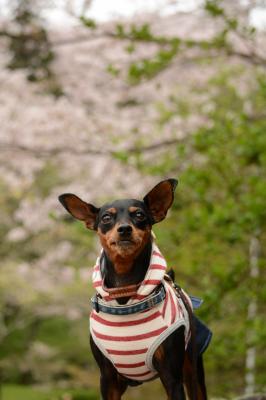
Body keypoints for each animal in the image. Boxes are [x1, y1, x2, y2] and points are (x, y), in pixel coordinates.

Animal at [59, 180, 211, 400]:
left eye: (139, 214)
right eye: (106, 218)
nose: (124, 229)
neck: (125, 291)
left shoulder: (172, 377)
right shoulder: (108, 380)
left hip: (192, 367)